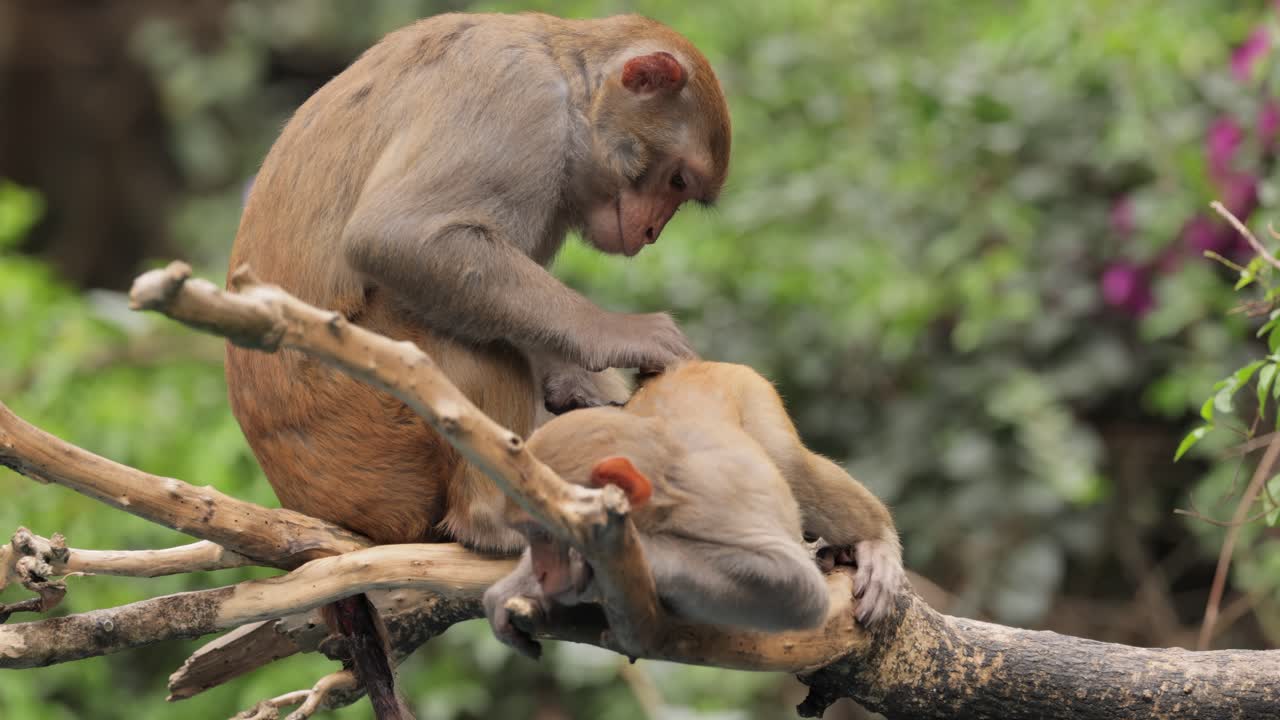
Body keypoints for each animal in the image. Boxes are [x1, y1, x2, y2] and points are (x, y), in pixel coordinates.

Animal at [223, 12, 731, 718]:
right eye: (678, 181)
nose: (654, 231)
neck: (569, 86)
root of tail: (304, 500)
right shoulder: (518, 104)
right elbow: (399, 237)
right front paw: (623, 337)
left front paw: (582, 387)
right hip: (364, 434)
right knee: (460, 338)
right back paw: (491, 520)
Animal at [483, 361, 905, 659]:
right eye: (530, 536)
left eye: (547, 531)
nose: (543, 569)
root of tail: (687, 366)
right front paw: (520, 584)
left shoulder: (716, 502)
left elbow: (797, 587)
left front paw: (606, 563)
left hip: (750, 388)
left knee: (791, 465)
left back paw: (878, 540)